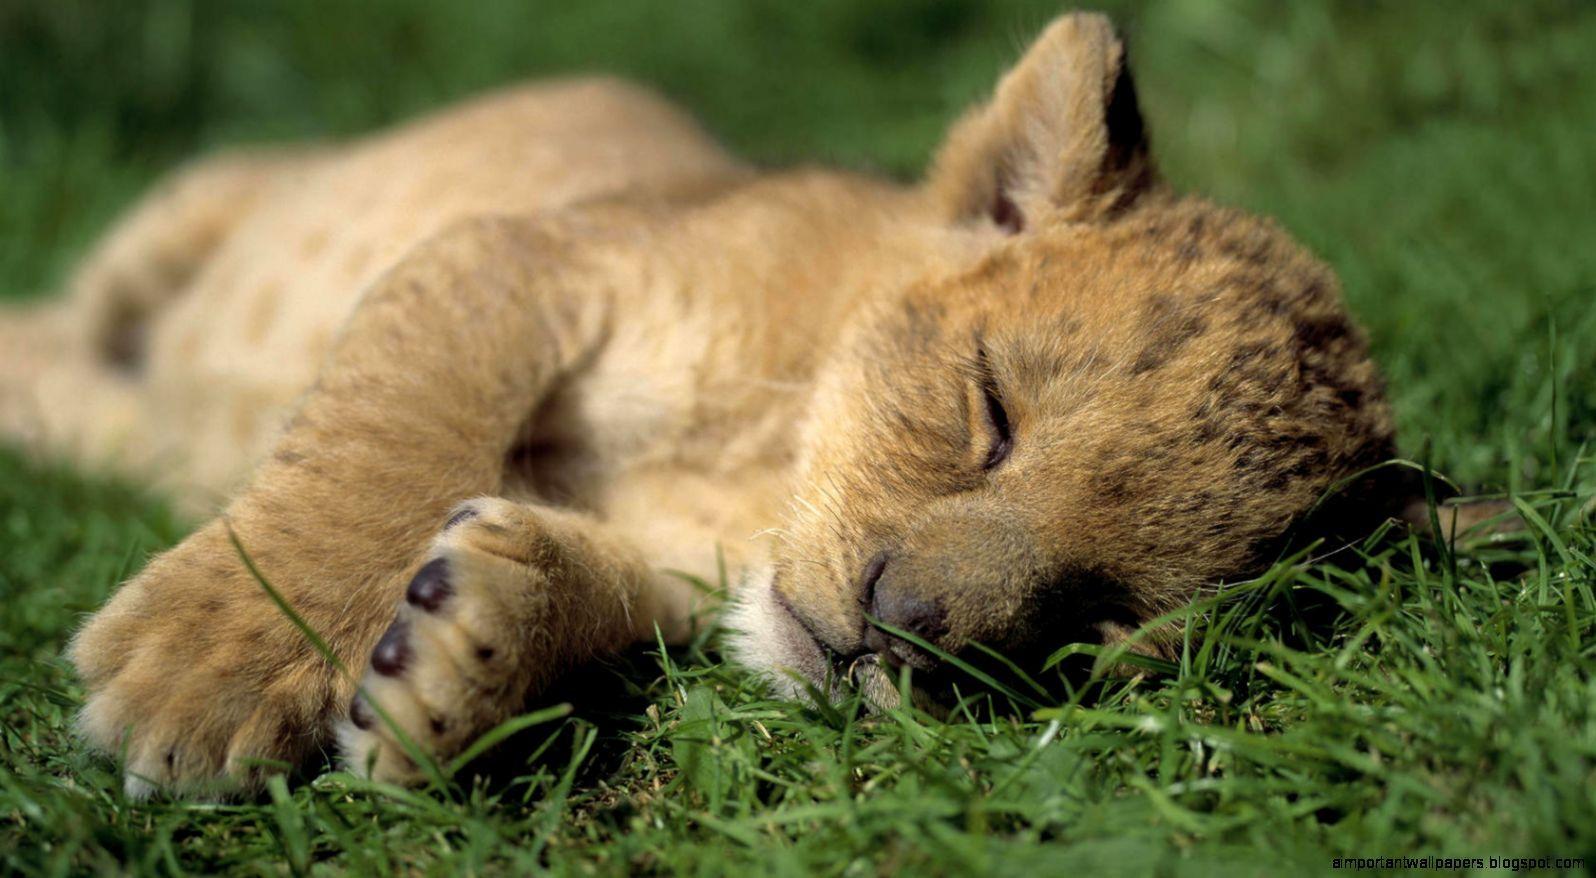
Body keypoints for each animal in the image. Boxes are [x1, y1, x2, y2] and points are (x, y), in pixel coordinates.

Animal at [0, 12, 1396, 796]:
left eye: (1103, 610)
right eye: (991, 411)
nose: (902, 630)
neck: (757, 472)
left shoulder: (680, 577)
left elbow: (584, 579)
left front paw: (459, 653)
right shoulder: (523, 256)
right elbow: (386, 442)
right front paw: (211, 672)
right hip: (199, 204)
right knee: (73, 316)